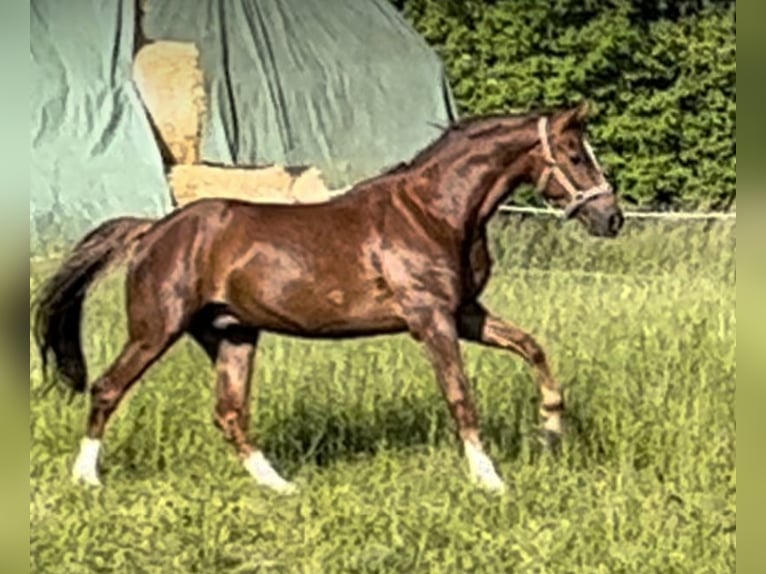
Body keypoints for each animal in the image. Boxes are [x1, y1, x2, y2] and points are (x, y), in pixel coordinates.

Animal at [33, 102, 628, 496]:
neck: (434, 212)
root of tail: (153, 231)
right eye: (575, 155)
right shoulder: (431, 319)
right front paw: (490, 480)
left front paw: (551, 429)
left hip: (232, 334)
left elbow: (533, 348)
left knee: (229, 413)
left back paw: (280, 486)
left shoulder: (465, 315)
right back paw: (86, 479)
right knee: (108, 388)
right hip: (156, 329)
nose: (612, 218)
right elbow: (461, 395)